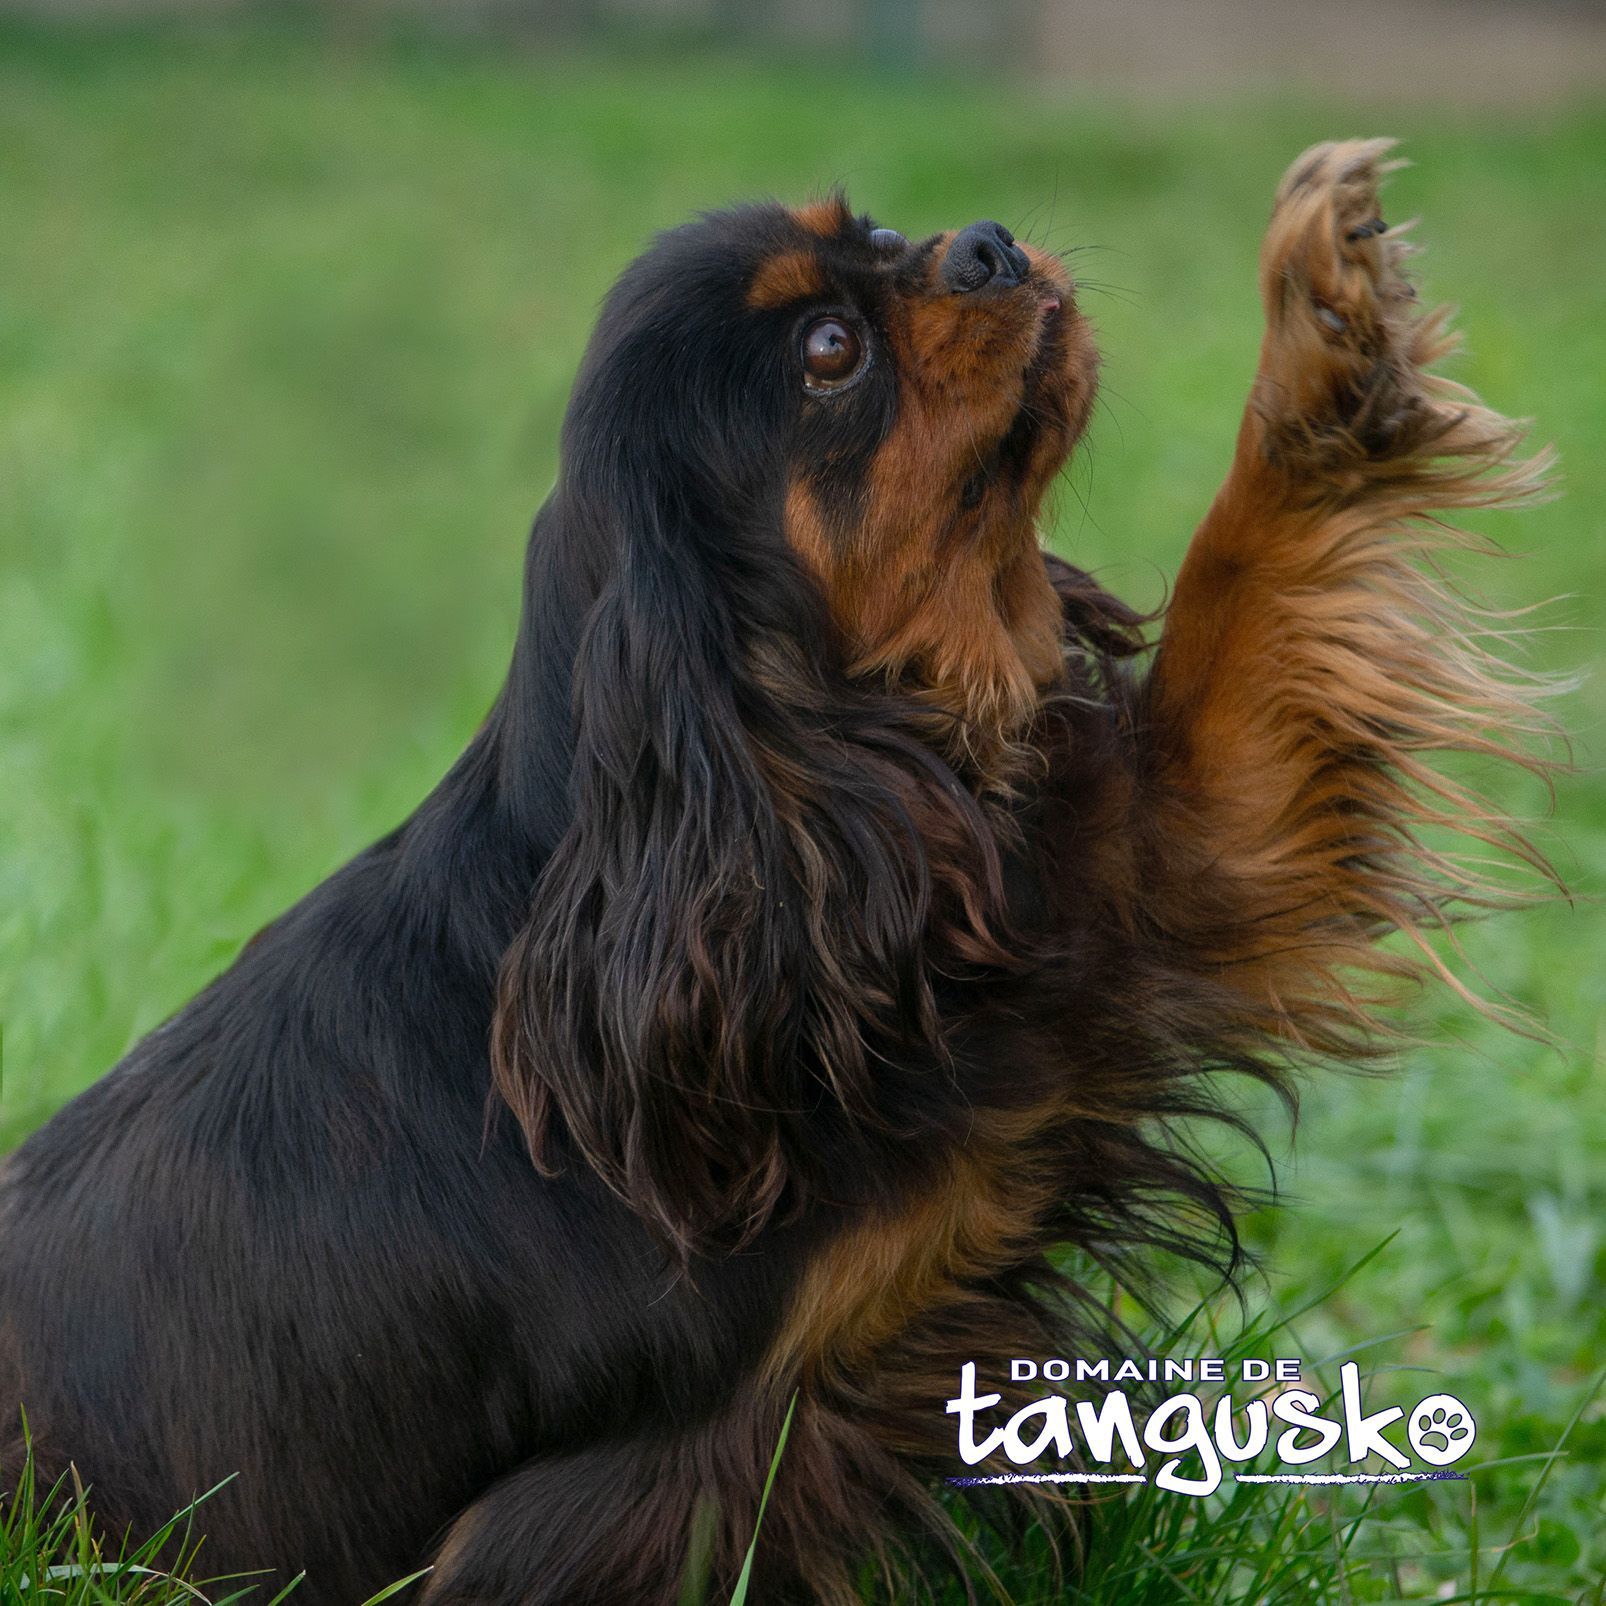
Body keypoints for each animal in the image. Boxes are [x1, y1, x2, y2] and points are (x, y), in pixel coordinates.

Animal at [0, 144, 1554, 1599]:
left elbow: (1243, 569)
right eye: (827, 352)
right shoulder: (637, 1488)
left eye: (883, 238)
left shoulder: (1156, 875)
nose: (984, 245)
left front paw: (1332, 321)